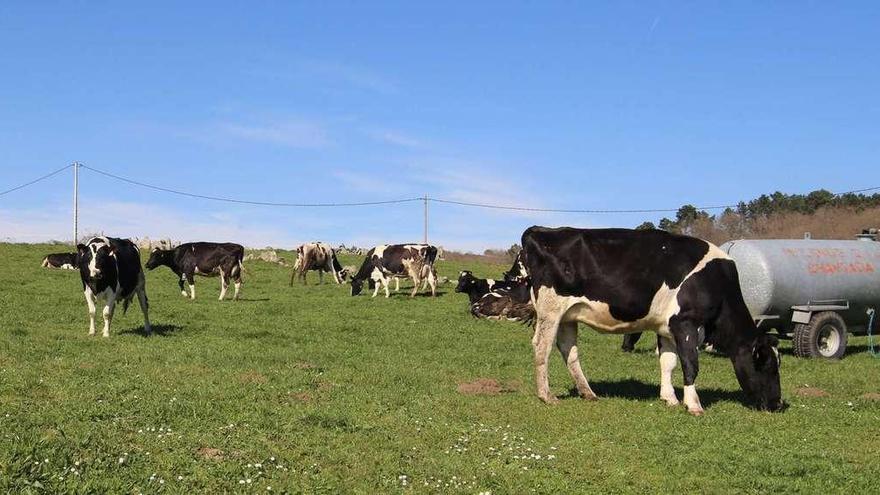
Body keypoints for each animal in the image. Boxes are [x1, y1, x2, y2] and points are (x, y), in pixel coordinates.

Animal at [520, 228, 780, 414]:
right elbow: (690, 364)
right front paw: (693, 405)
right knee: (542, 347)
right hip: (550, 310)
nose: (777, 404)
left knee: (568, 350)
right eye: (765, 363)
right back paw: (547, 395)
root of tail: (540, 230)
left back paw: (588, 392)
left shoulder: (666, 327)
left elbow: (668, 363)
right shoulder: (686, 322)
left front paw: (670, 398)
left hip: (568, 315)